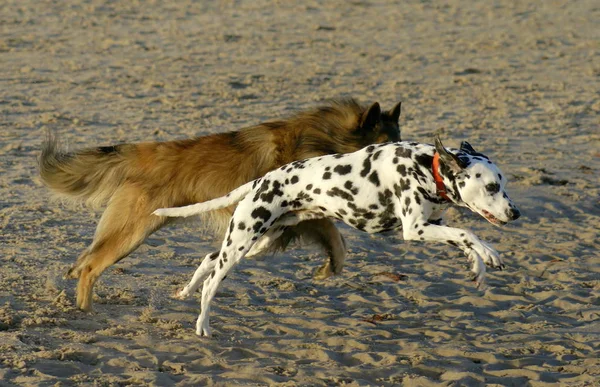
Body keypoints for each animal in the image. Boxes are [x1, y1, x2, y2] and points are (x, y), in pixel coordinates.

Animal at [39, 99, 400, 312]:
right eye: (384, 147)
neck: (327, 139)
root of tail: (145, 151)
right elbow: (333, 236)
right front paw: (332, 265)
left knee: (86, 258)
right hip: (132, 233)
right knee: (91, 266)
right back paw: (85, 310)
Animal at [155, 136, 520, 336]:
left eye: (502, 183)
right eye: (492, 186)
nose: (515, 213)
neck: (424, 168)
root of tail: (261, 181)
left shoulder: (433, 224)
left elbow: (463, 238)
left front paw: (479, 266)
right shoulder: (415, 230)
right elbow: (468, 231)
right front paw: (490, 253)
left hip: (258, 242)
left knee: (208, 259)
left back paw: (185, 292)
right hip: (243, 243)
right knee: (211, 283)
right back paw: (202, 323)